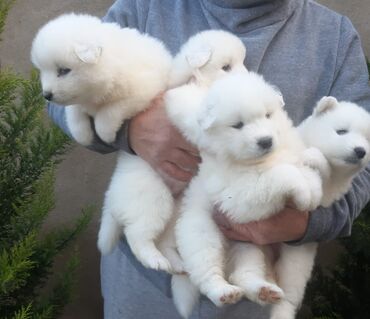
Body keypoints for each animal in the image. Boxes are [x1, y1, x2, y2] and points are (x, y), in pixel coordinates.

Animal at [30, 13, 172, 146]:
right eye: (42, 70)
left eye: (64, 70)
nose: (46, 95)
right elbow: (73, 111)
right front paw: (83, 135)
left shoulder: (142, 91)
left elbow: (109, 111)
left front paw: (106, 134)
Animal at [98, 29, 249, 272]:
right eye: (226, 67)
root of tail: (112, 198)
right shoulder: (185, 98)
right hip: (153, 201)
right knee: (137, 235)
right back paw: (155, 260)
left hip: (175, 210)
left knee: (164, 241)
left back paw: (177, 264)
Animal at [166, 72, 322, 316]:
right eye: (238, 125)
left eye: (268, 115)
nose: (266, 141)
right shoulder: (241, 197)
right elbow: (281, 174)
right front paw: (303, 192)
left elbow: (301, 168)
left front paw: (312, 186)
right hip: (202, 234)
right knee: (207, 271)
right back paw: (223, 291)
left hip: (262, 250)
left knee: (250, 277)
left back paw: (265, 291)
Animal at [268, 96, 370, 319]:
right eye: (341, 131)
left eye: (368, 140)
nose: (361, 151)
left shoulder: (328, 192)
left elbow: (321, 169)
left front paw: (312, 157)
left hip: (297, 262)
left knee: (289, 295)